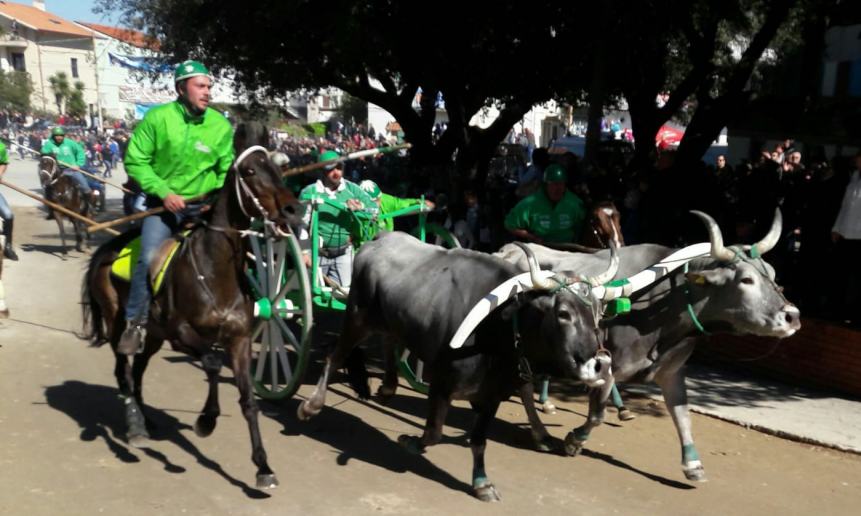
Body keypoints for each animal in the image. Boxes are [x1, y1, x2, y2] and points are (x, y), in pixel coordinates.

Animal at [80, 123, 300, 490]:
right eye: (250, 171)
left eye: (279, 169)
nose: (293, 211)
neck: (215, 269)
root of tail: (108, 248)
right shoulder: (181, 333)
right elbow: (210, 363)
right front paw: (206, 420)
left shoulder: (239, 340)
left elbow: (248, 400)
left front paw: (263, 466)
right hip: (117, 324)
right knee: (123, 371)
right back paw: (135, 427)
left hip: (153, 335)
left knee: (137, 371)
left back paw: (147, 420)